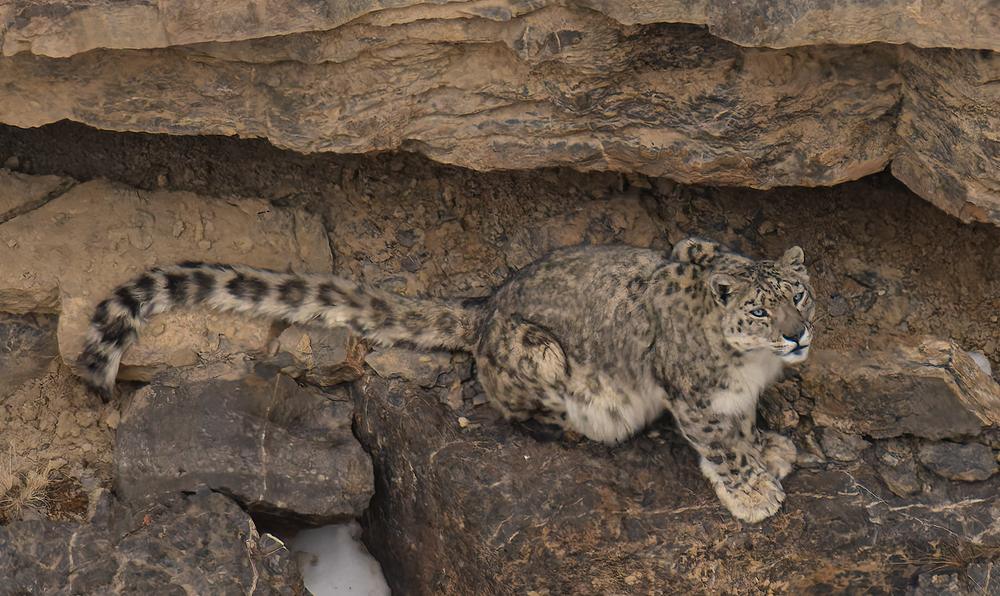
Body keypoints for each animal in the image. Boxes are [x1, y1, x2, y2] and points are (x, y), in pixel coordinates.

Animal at [78, 236, 815, 522]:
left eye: (799, 295)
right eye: (759, 310)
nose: (797, 334)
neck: (754, 366)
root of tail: (486, 307)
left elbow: (743, 425)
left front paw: (771, 447)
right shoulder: (693, 395)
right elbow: (720, 442)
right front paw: (754, 491)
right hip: (536, 357)